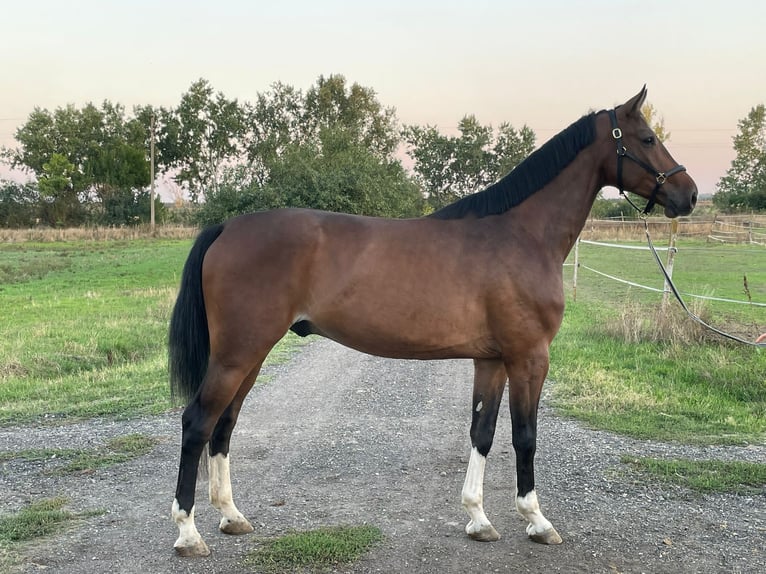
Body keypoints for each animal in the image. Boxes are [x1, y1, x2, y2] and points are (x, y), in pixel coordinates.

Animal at [171, 88, 700, 560]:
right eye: (648, 138)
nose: (690, 194)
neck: (522, 236)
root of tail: (228, 227)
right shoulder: (529, 356)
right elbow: (524, 436)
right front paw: (537, 521)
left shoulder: (492, 360)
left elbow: (482, 433)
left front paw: (478, 520)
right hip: (238, 354)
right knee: (198, 423)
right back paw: (188, 533)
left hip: (250, 356)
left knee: (224, 426)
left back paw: (231, 516)